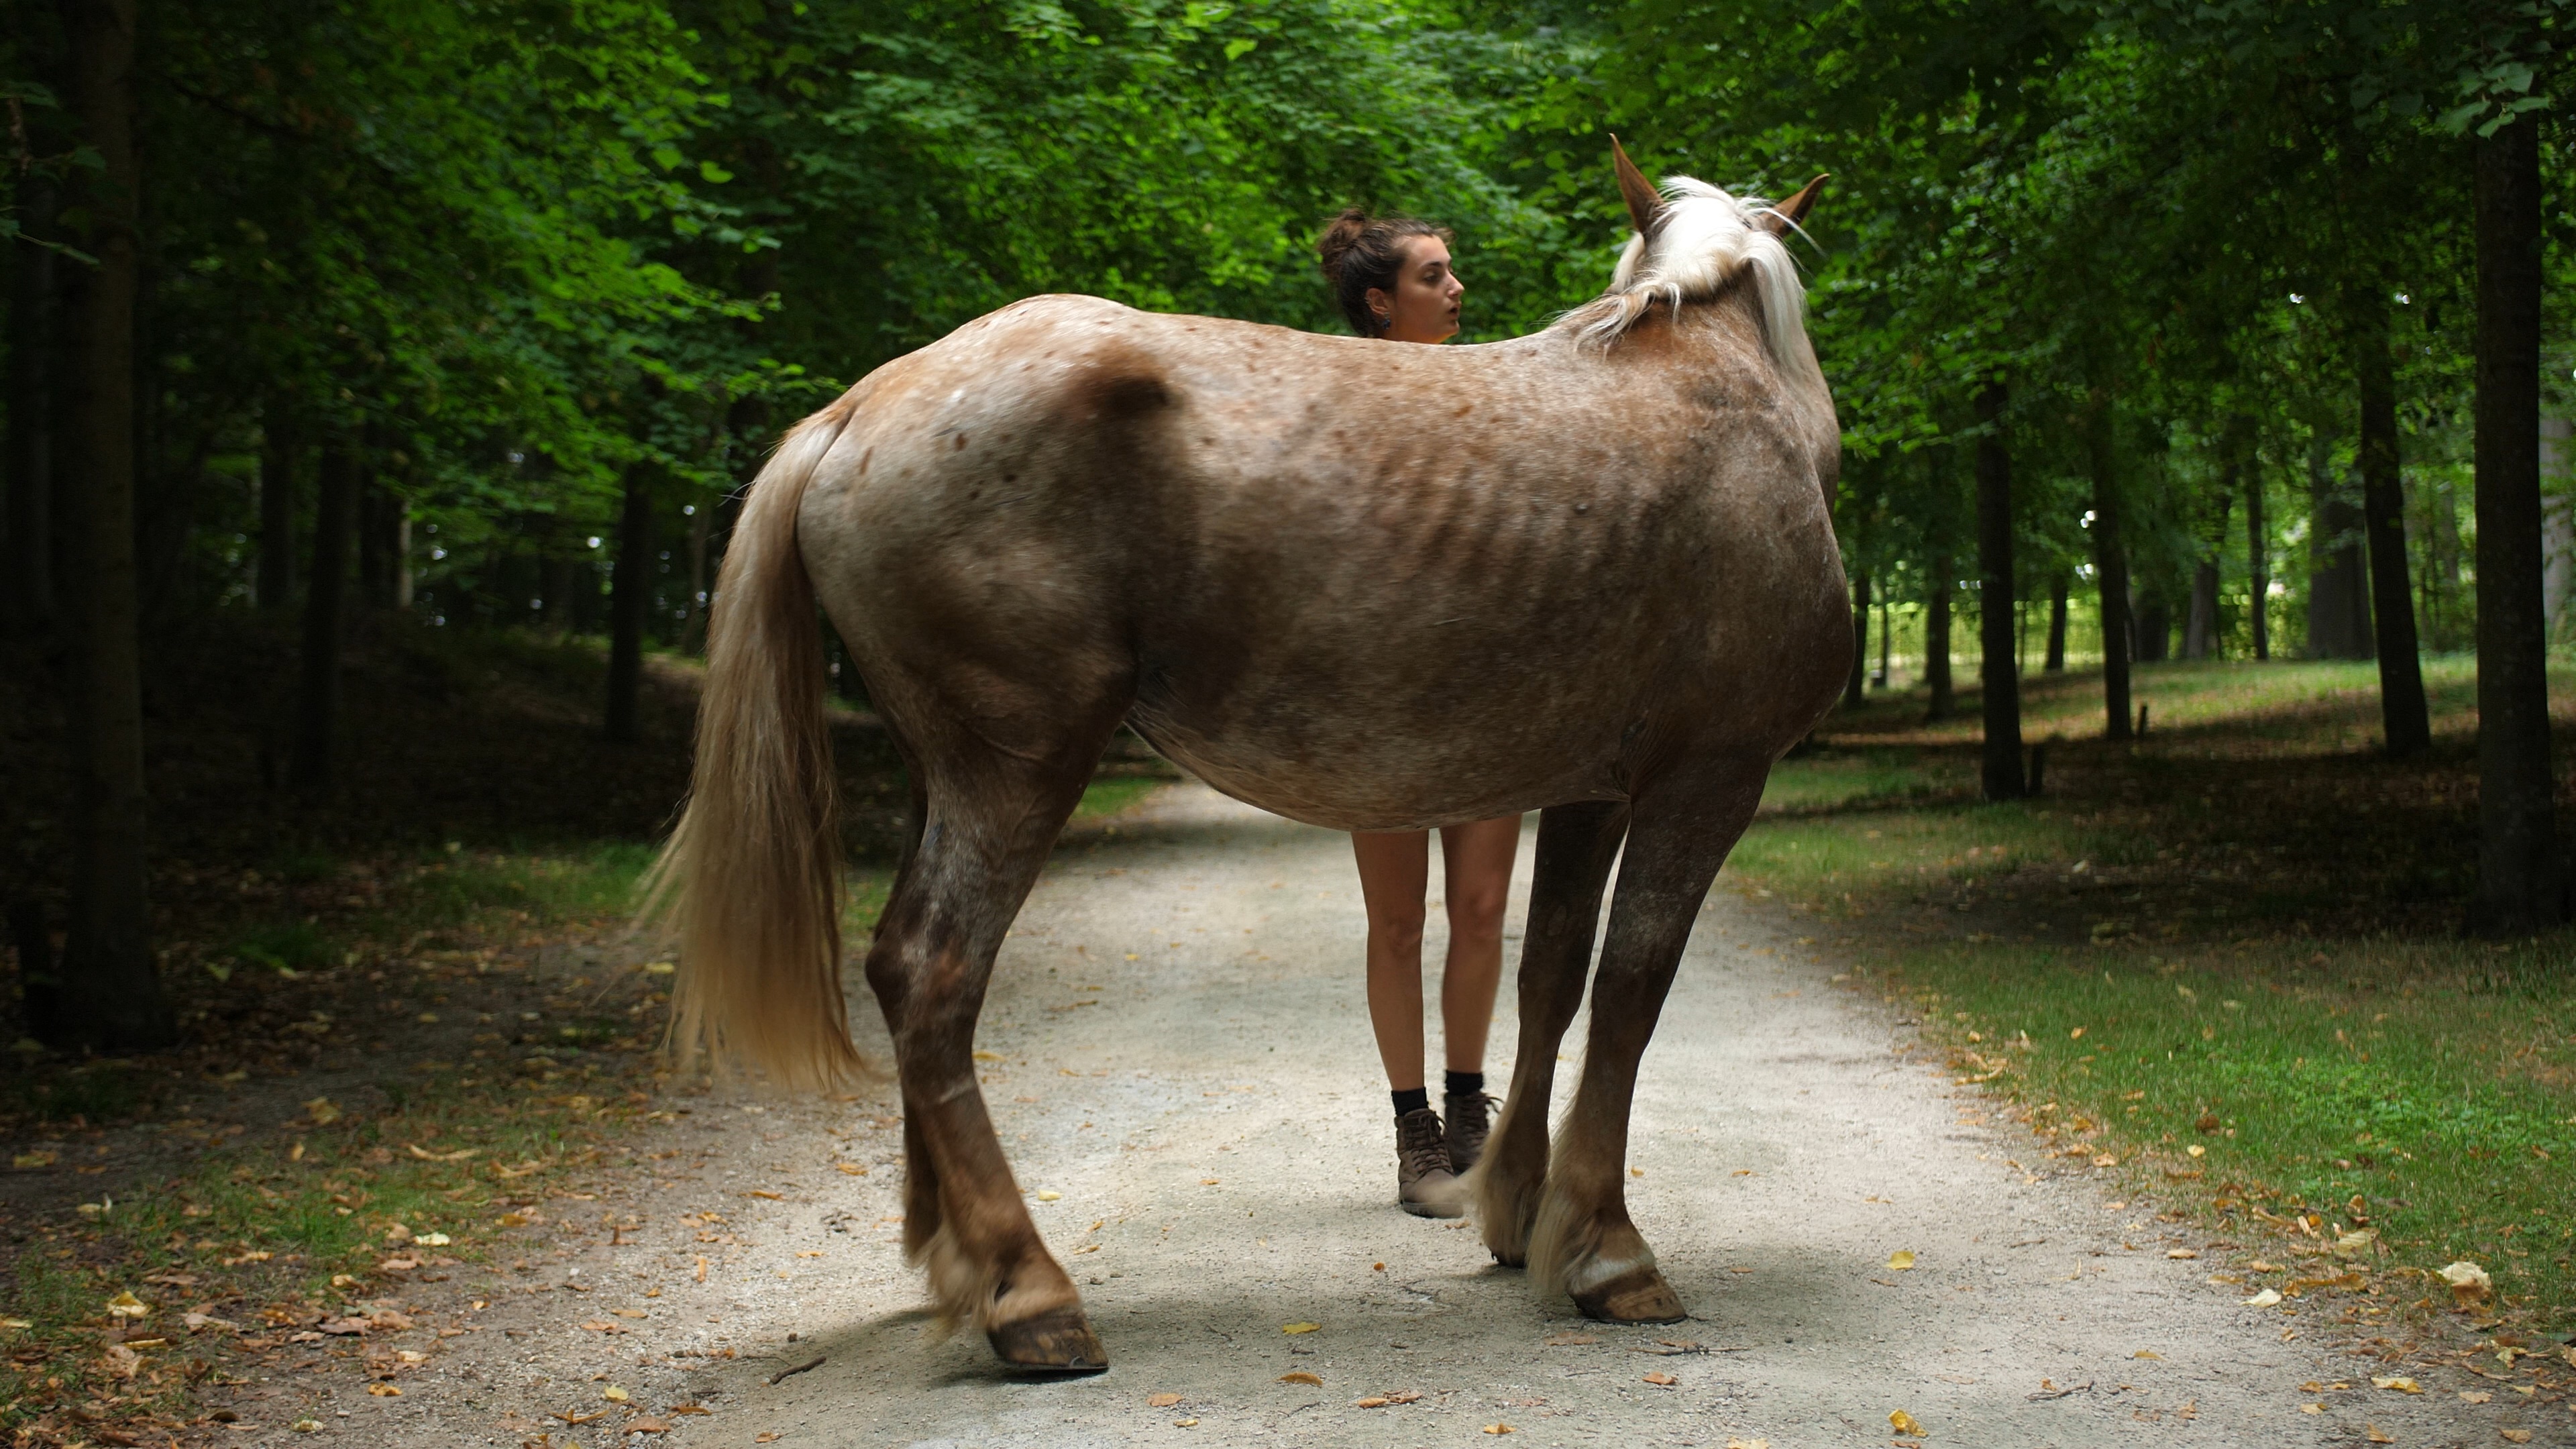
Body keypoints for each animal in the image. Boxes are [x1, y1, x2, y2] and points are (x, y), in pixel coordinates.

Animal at [654, 141, 1844, 1371]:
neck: (1713, 386)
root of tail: (857, 409)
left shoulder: (1589, 791)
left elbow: (1550, 977)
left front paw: (1520, 1213)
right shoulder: (1708, 777)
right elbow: (1631, 992)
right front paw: (1610, 1253)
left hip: (948, 769)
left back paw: (951, 1260)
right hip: (1017, 770)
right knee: (929, 972)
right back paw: (1030, 1295)